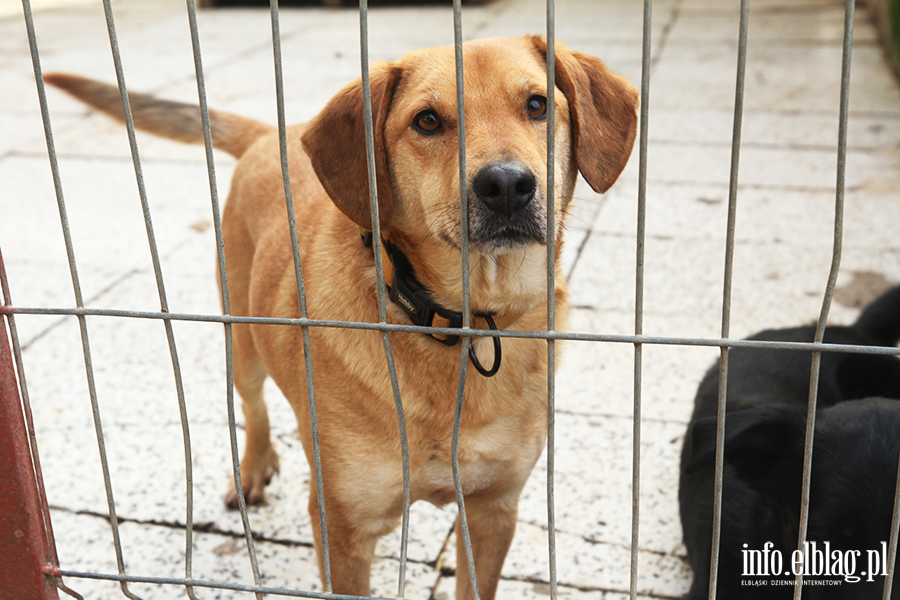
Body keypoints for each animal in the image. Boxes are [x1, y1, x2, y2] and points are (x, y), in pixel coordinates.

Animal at [45, 36, 636, 600]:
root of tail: (273, 133)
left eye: (538, 105)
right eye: (428, 120)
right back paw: (254, 466)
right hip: (242, 339)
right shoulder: (344, 529)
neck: (456, 323)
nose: (508, 185)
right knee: (253, 403)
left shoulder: (492, 514)